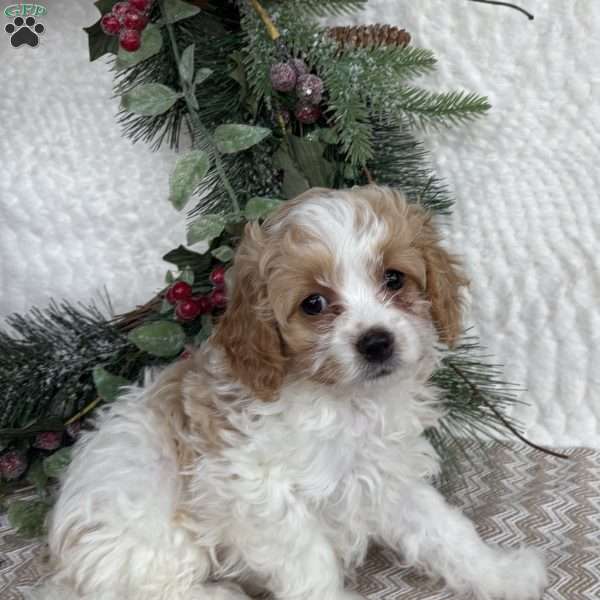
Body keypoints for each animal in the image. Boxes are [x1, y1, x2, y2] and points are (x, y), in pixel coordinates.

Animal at [32, 186, 548, 600]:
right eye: (313, 304)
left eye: (394, 278)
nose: (376, 341)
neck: (347, 403)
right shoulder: (254, 489)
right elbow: (307, 560)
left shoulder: (386, 475)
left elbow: (445, 531)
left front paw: (501, 574)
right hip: (150, 529)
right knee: (150, 589)